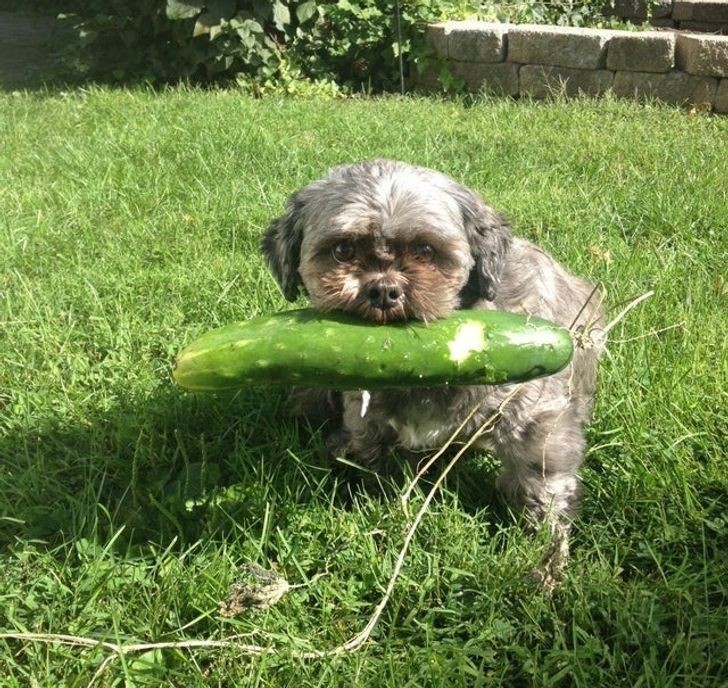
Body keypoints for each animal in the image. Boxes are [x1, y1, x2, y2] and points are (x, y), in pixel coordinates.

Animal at [262, 160, 604, 584]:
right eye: (343, 249)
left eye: (425, 250)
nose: (384, 290)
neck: (422, 377)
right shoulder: (367, 412)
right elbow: (378, 460)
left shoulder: (535, 417)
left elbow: (542, 480)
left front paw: (547, 549)